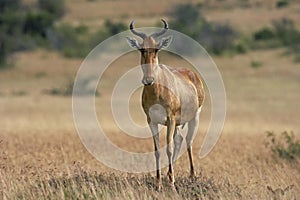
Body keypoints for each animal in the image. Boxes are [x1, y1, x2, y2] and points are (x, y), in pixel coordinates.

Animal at [126, 19, 204, 190]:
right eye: (141, 49)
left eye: (156, 49)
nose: (148, 80)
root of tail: (192, 74)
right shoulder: (152, 121)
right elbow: (157, 150)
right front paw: (159, 183)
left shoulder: (171, 119)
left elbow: (168, 148)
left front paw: (172, 182)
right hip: (178, 123)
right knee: (179, 139)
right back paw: (170, 174)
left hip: (193, 117)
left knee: (188, 141)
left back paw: (192, 176)